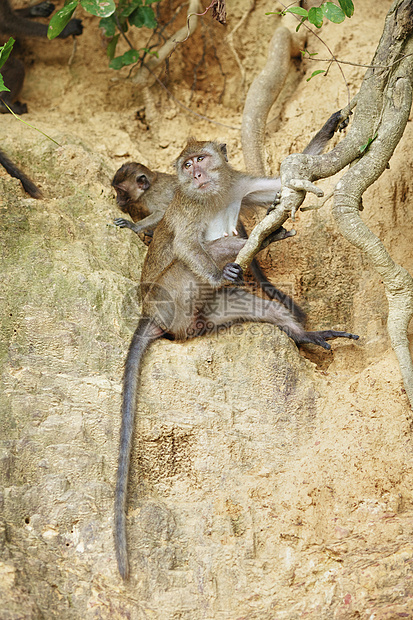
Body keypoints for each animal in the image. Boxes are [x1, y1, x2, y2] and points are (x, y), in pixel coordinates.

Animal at [113, 137, 358, 580]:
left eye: (201, 159)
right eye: (186, 165)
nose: (195, 173)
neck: (211, 195)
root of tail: (153, 315)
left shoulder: (238, 184)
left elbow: (277, 184)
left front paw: (330, 133)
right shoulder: (187, 208)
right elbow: (185, 244)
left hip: (213, 311)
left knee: (248, 299)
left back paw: (299, 324)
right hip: (176, 296)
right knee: (209, 250)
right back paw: (244, 254)